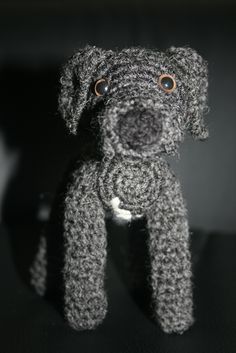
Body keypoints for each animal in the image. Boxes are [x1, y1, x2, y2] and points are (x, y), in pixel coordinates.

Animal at [30, 45, 208, 334]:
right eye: (99, 87)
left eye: (168, 83)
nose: (138, 122)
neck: (132, 170)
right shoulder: (81, 207)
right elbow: (85, 266)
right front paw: (85, 318)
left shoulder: (169, 213)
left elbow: (172, 267)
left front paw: (175, 319)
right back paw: (39, 282)